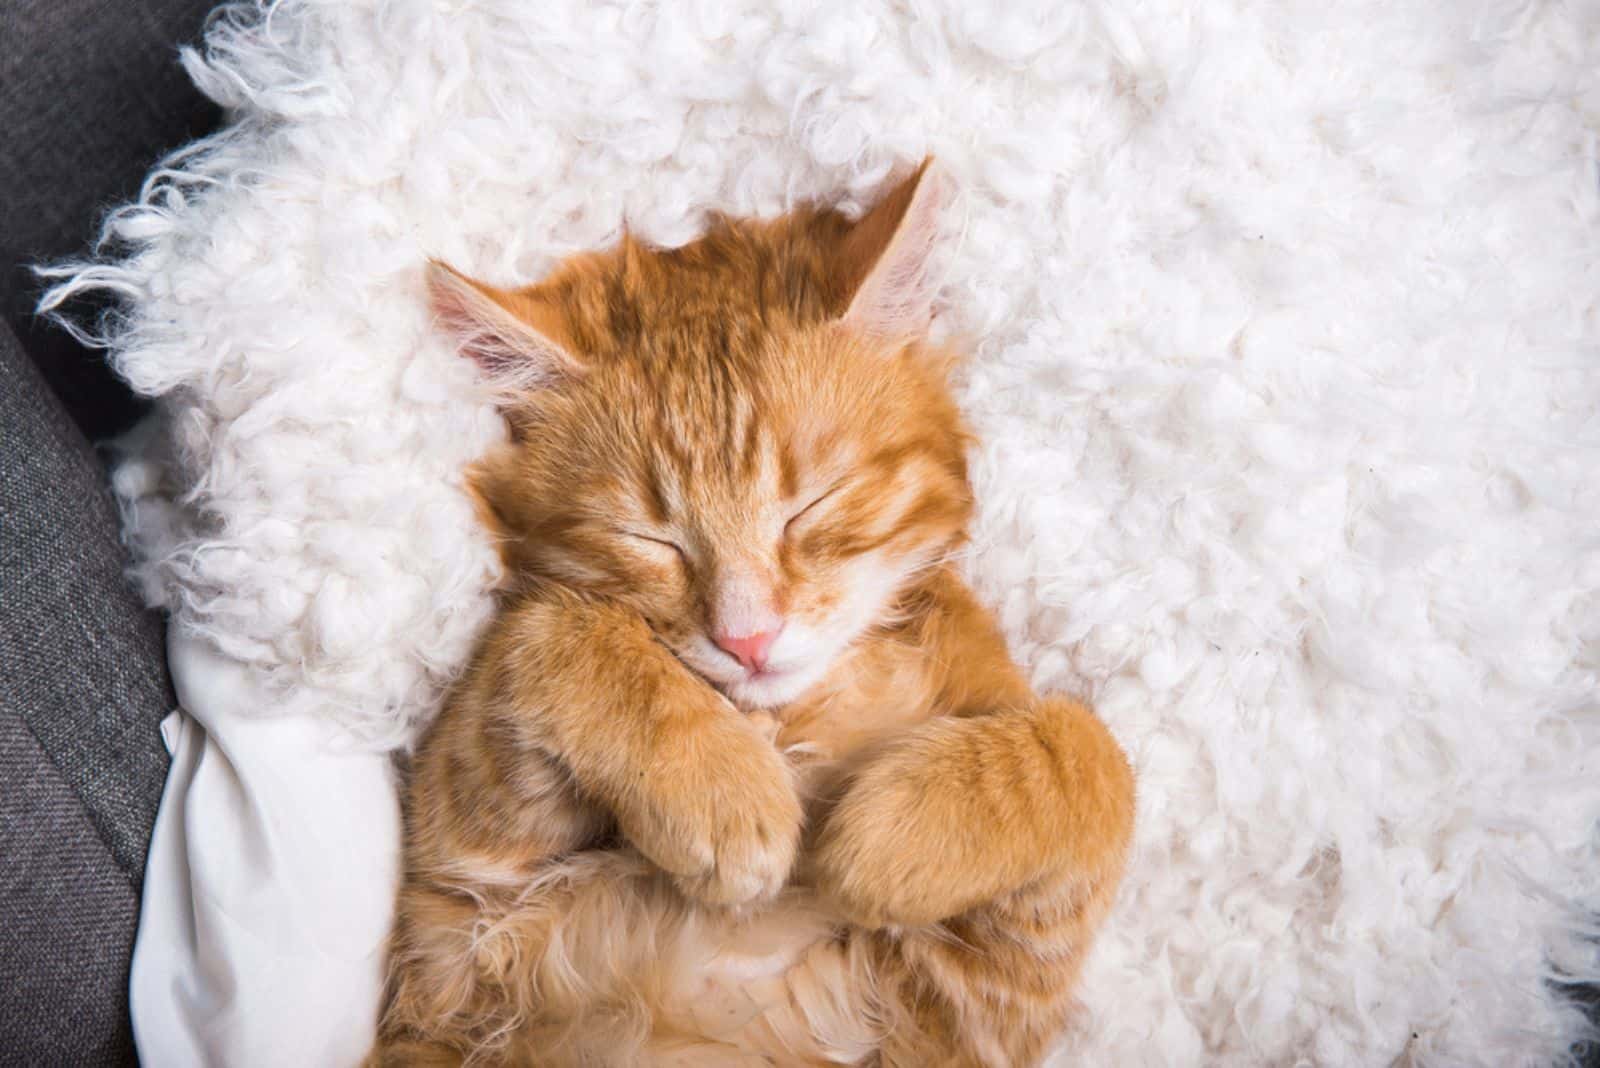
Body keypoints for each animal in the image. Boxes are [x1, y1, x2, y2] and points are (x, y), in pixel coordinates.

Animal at [371, 160, 1139, 1068]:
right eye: (652, 539)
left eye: (810, 507)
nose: (746, 639)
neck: (799, 713)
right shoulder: (456, 899)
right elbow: (546, 629)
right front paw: (721, 786)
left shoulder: (979, 1002)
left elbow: (1089, 756)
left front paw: (885, 837)